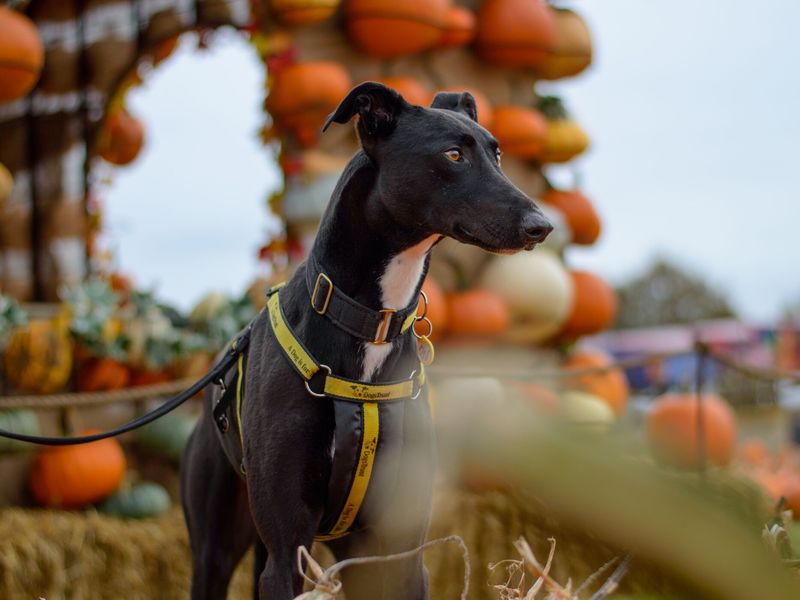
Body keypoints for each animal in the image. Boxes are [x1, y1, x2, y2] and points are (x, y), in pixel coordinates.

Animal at [180, 81, 552, 600]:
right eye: (453, 154)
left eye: (497, 153)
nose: (542, 226)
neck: (370, 321)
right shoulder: (286, 551)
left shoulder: (403, 553)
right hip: (216, 546)